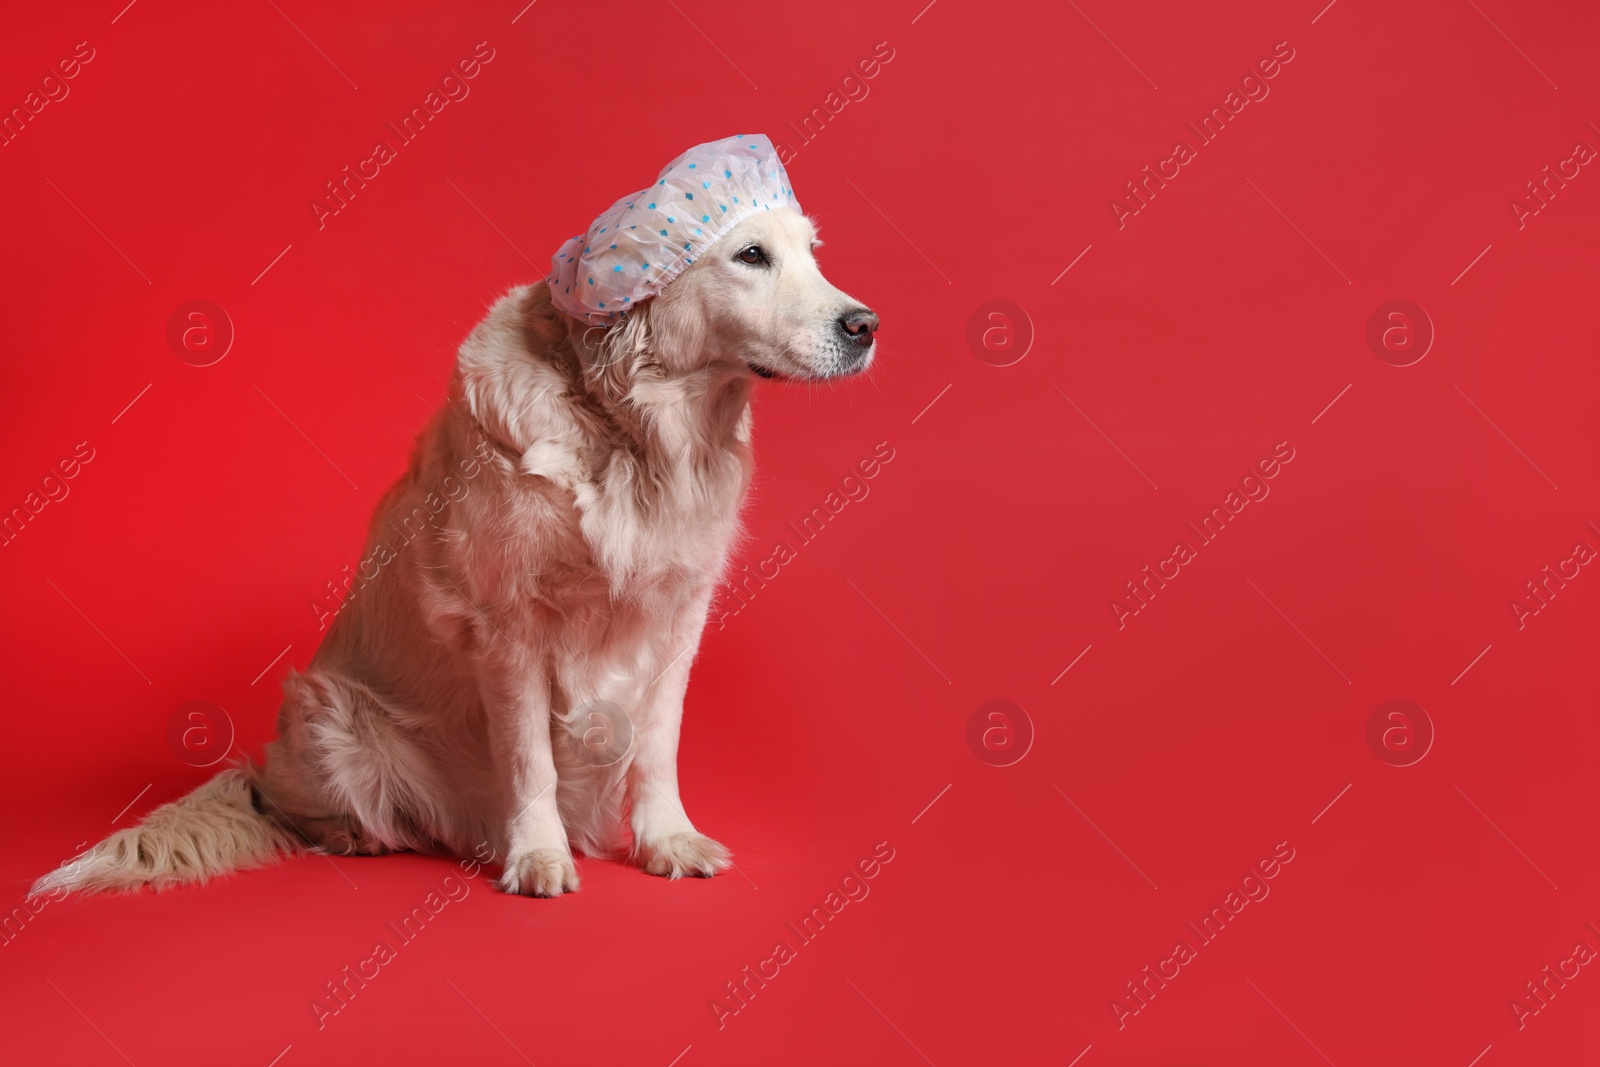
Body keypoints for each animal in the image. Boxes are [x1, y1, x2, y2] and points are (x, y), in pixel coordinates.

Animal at [34, 185, 876, 902]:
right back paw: (356, 834)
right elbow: (531, 757)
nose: (866, 325)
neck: (638, 435)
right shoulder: (508, 623)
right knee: (280, 804)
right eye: (750, 256)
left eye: (811, 251)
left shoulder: (677, 611)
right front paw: (539, 855)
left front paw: (667, 840)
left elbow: (657, 744)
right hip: (325, 709)